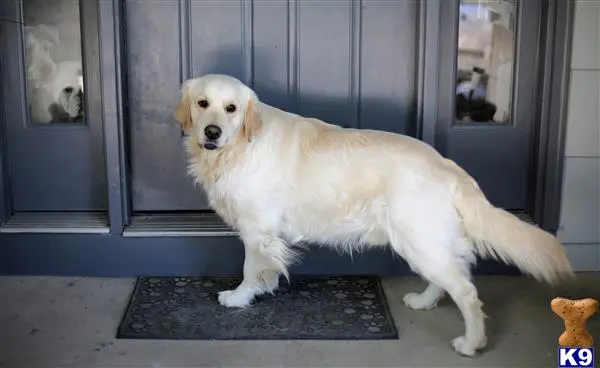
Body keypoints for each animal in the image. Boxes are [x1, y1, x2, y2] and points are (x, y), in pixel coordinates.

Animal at [172, 72, 572, 356]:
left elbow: (250, 268)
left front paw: (240, 297)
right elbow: (265, 269)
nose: (211, 132)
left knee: (467, 293)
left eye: (231, 109)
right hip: (424, 243)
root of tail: (447, 166)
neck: (237, 148)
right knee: (449, 278)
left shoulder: (257, 228)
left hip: (418, 240)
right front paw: (262, 288)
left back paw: (471, 343)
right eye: (202, 102)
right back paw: (424, 301)